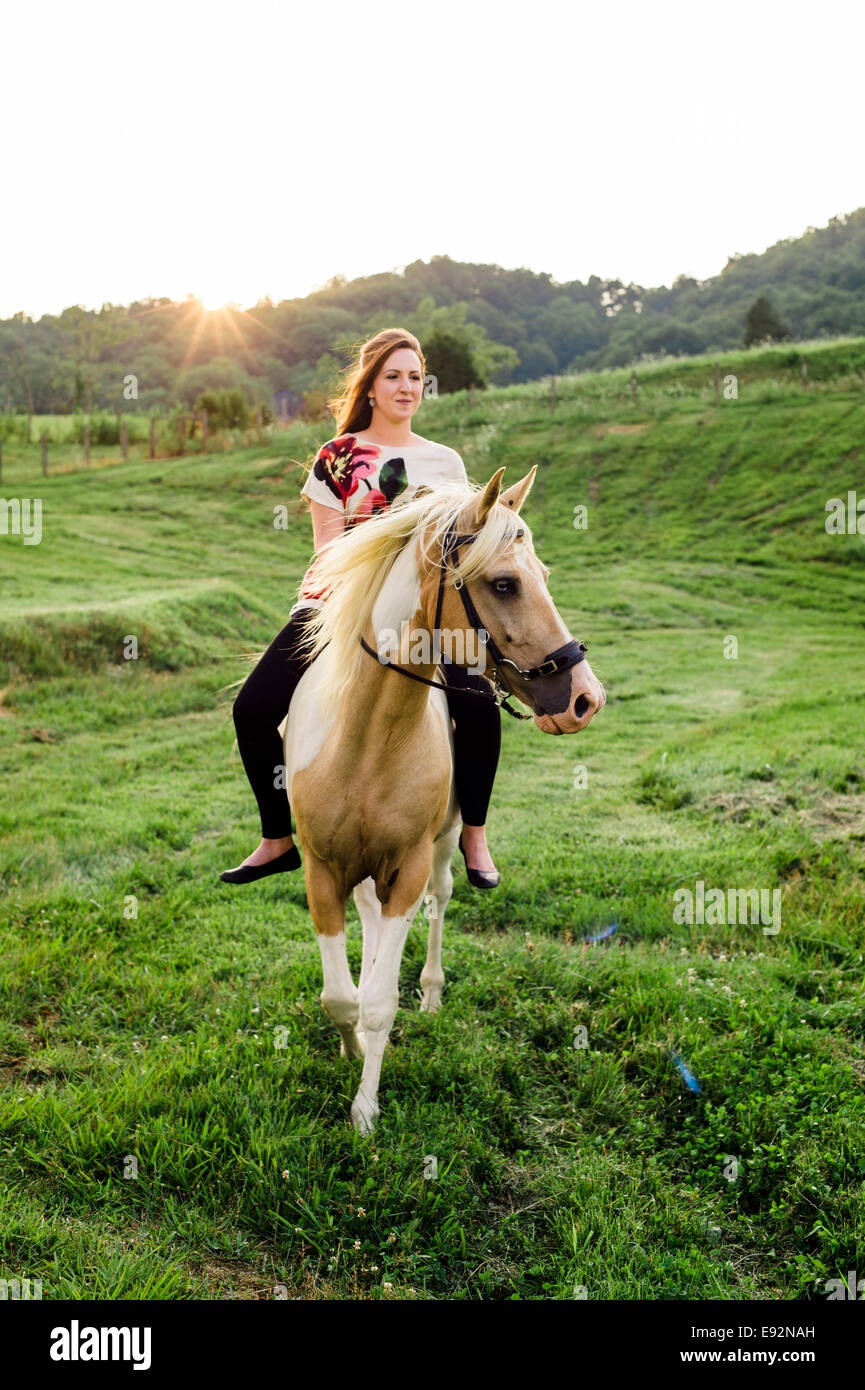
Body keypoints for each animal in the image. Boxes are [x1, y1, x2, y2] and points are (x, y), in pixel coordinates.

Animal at [280, 467, 606, 1128]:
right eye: (505, 583)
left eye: (544, 576)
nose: (586, 698)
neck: (367, 736)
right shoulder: (321, 870)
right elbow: (339, 998)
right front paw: (352, 1047)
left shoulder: (405, 868)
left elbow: (380, 1001)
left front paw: (365, 1112)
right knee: (369, 918)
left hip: (445, 843)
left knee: (439, 900)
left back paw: (430, 992)